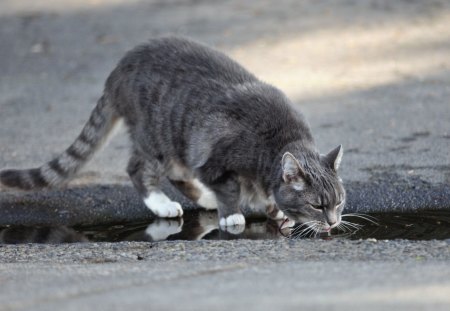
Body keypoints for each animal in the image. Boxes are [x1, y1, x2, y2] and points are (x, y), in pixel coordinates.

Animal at [0, 36, 346, 233]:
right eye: (318, 205)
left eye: (340, 202)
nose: (334, 222)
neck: (279, 143)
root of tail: (117, 71)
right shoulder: (216, 160)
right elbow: (228, 188)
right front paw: (232, 214)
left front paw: (275, 209)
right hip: (159, 138)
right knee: (137, 168)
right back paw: (163, 204)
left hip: (179, 144)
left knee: (179, 173)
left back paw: (203, 197)